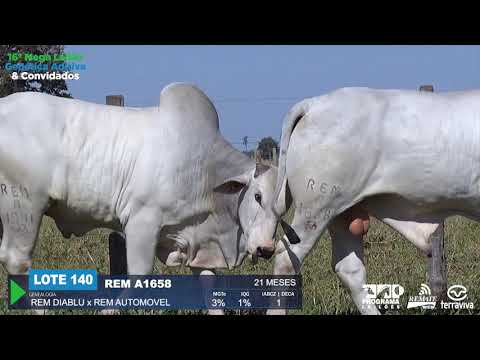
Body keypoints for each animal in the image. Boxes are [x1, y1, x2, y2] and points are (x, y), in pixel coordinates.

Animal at [0, 83, 280, 282]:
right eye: (257, 196)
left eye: (283, 206)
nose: (266, 249)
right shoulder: (142, 221)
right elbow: (138, 276)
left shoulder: (197, 244)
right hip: (24, 207)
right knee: (17, 261)